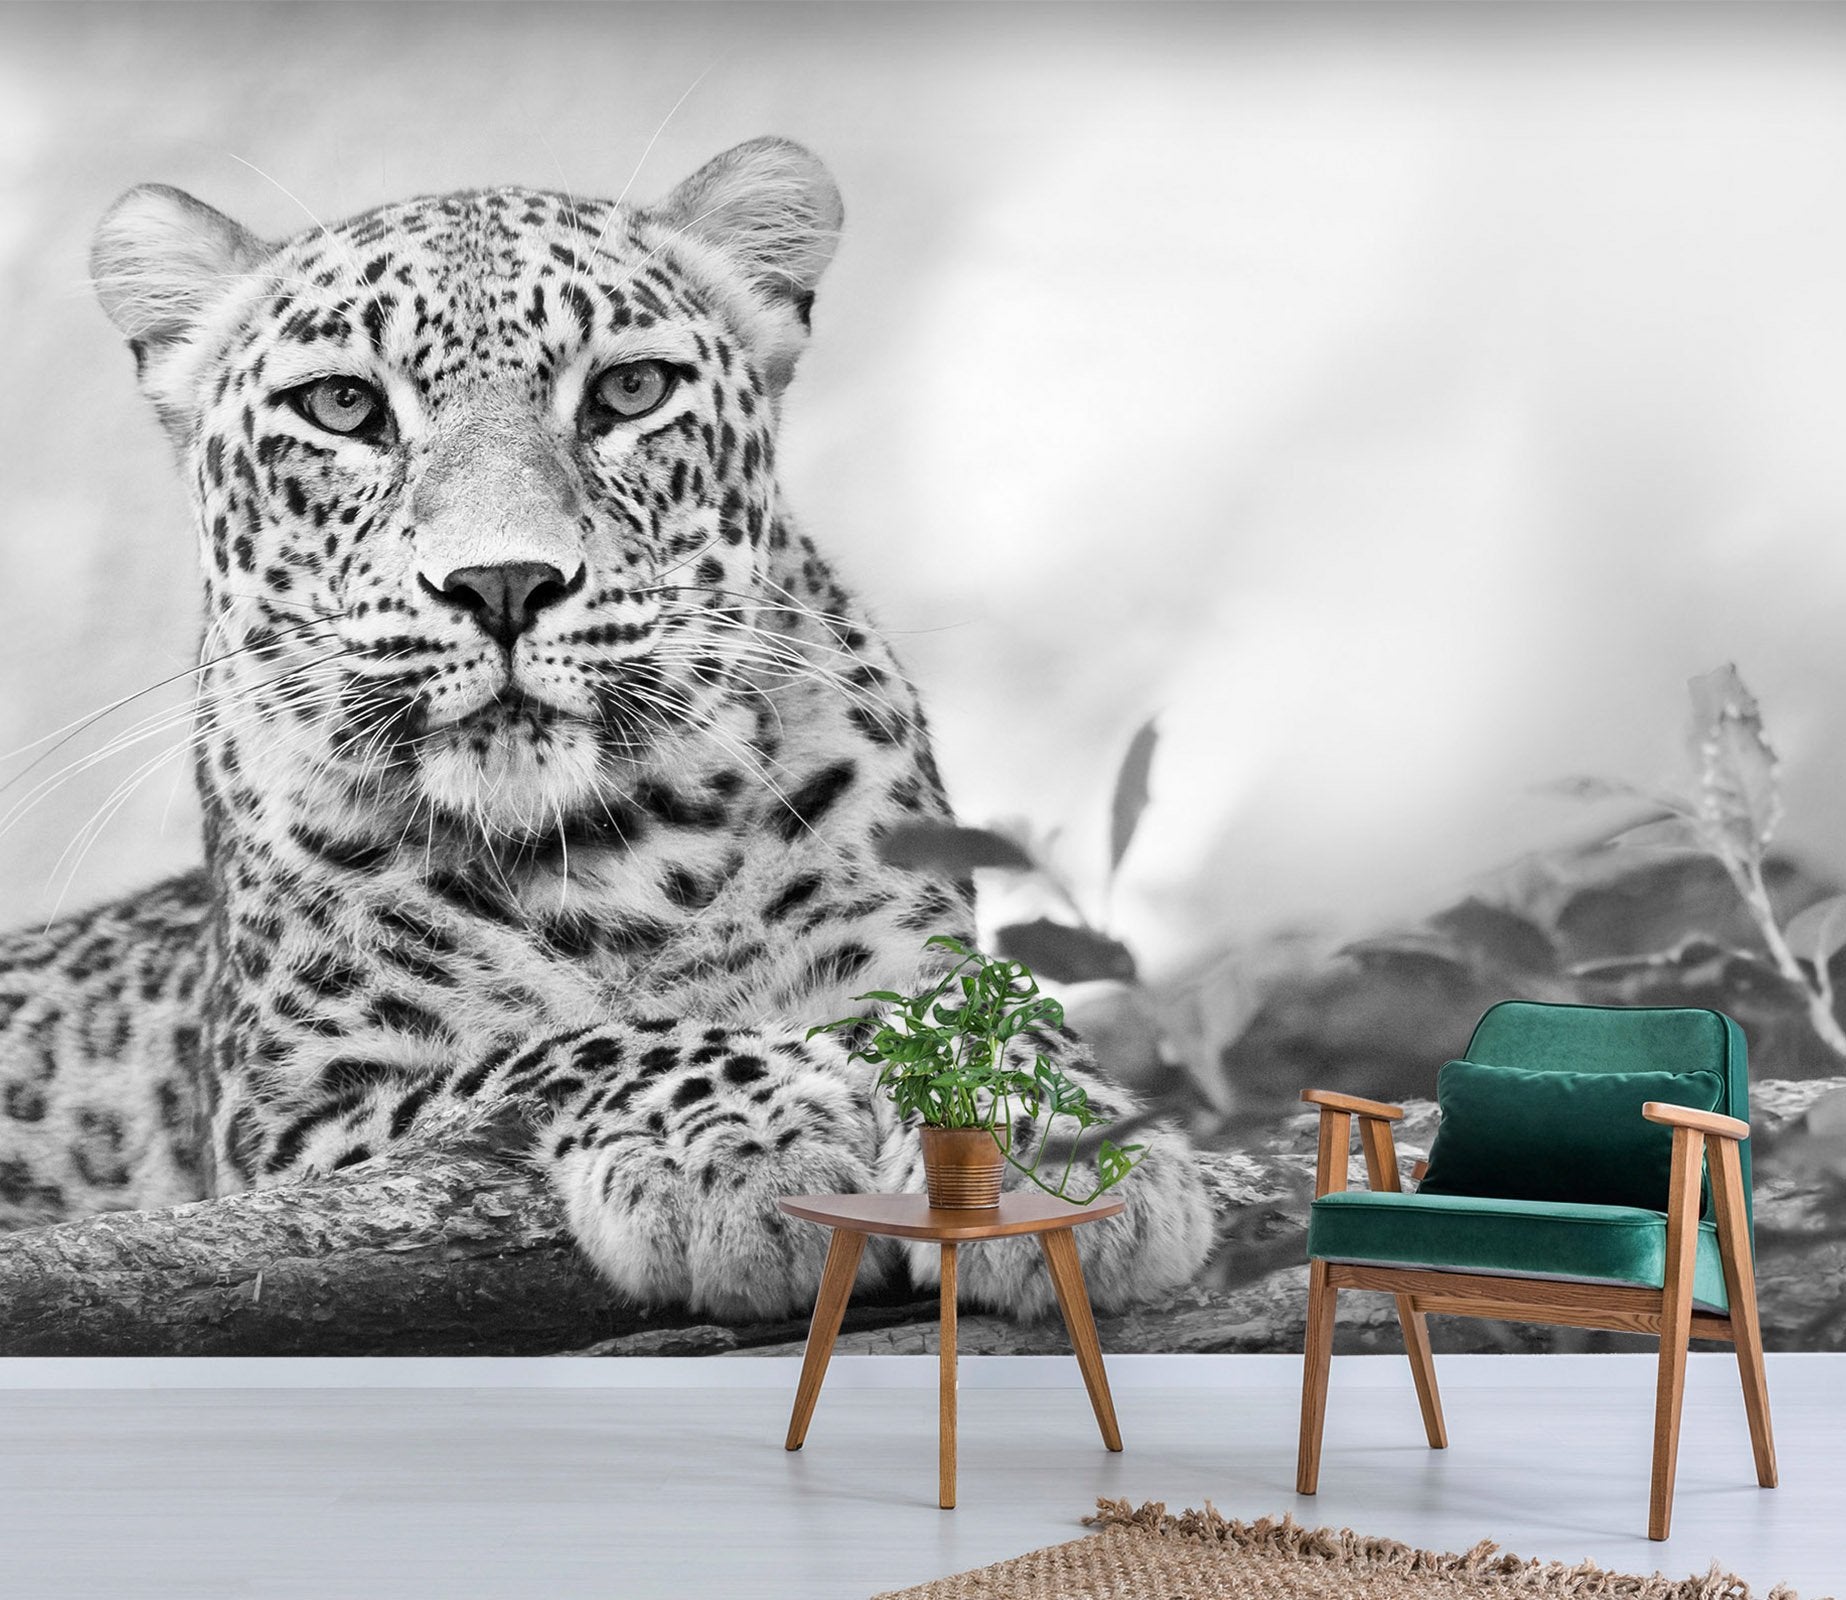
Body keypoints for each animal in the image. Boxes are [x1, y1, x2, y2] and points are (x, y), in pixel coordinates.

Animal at [0, 137, 1213, 1325]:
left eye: (630, 390)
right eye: (343, 406)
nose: (502, 582)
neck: (617, 860)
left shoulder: (911, 946)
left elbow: (984, 1018)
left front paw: (1063, 1148)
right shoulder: (291, 1121)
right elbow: (563, 1045)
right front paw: (740, 1145)